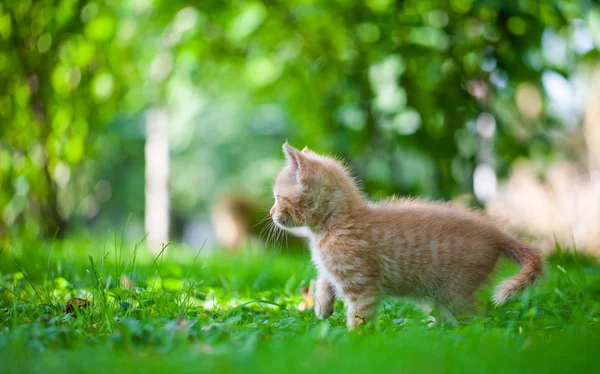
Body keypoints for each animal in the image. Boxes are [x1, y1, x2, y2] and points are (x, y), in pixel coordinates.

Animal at [272, 143, 544, 330]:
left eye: (276, 197)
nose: (271, 213)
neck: (337, 223)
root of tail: (497, 232)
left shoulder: (362, 283)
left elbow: (360, 313)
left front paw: (355, 340)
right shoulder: (336, 268)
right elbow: (324, 277)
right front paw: (322, 305)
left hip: (457, 292)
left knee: (477, 321)